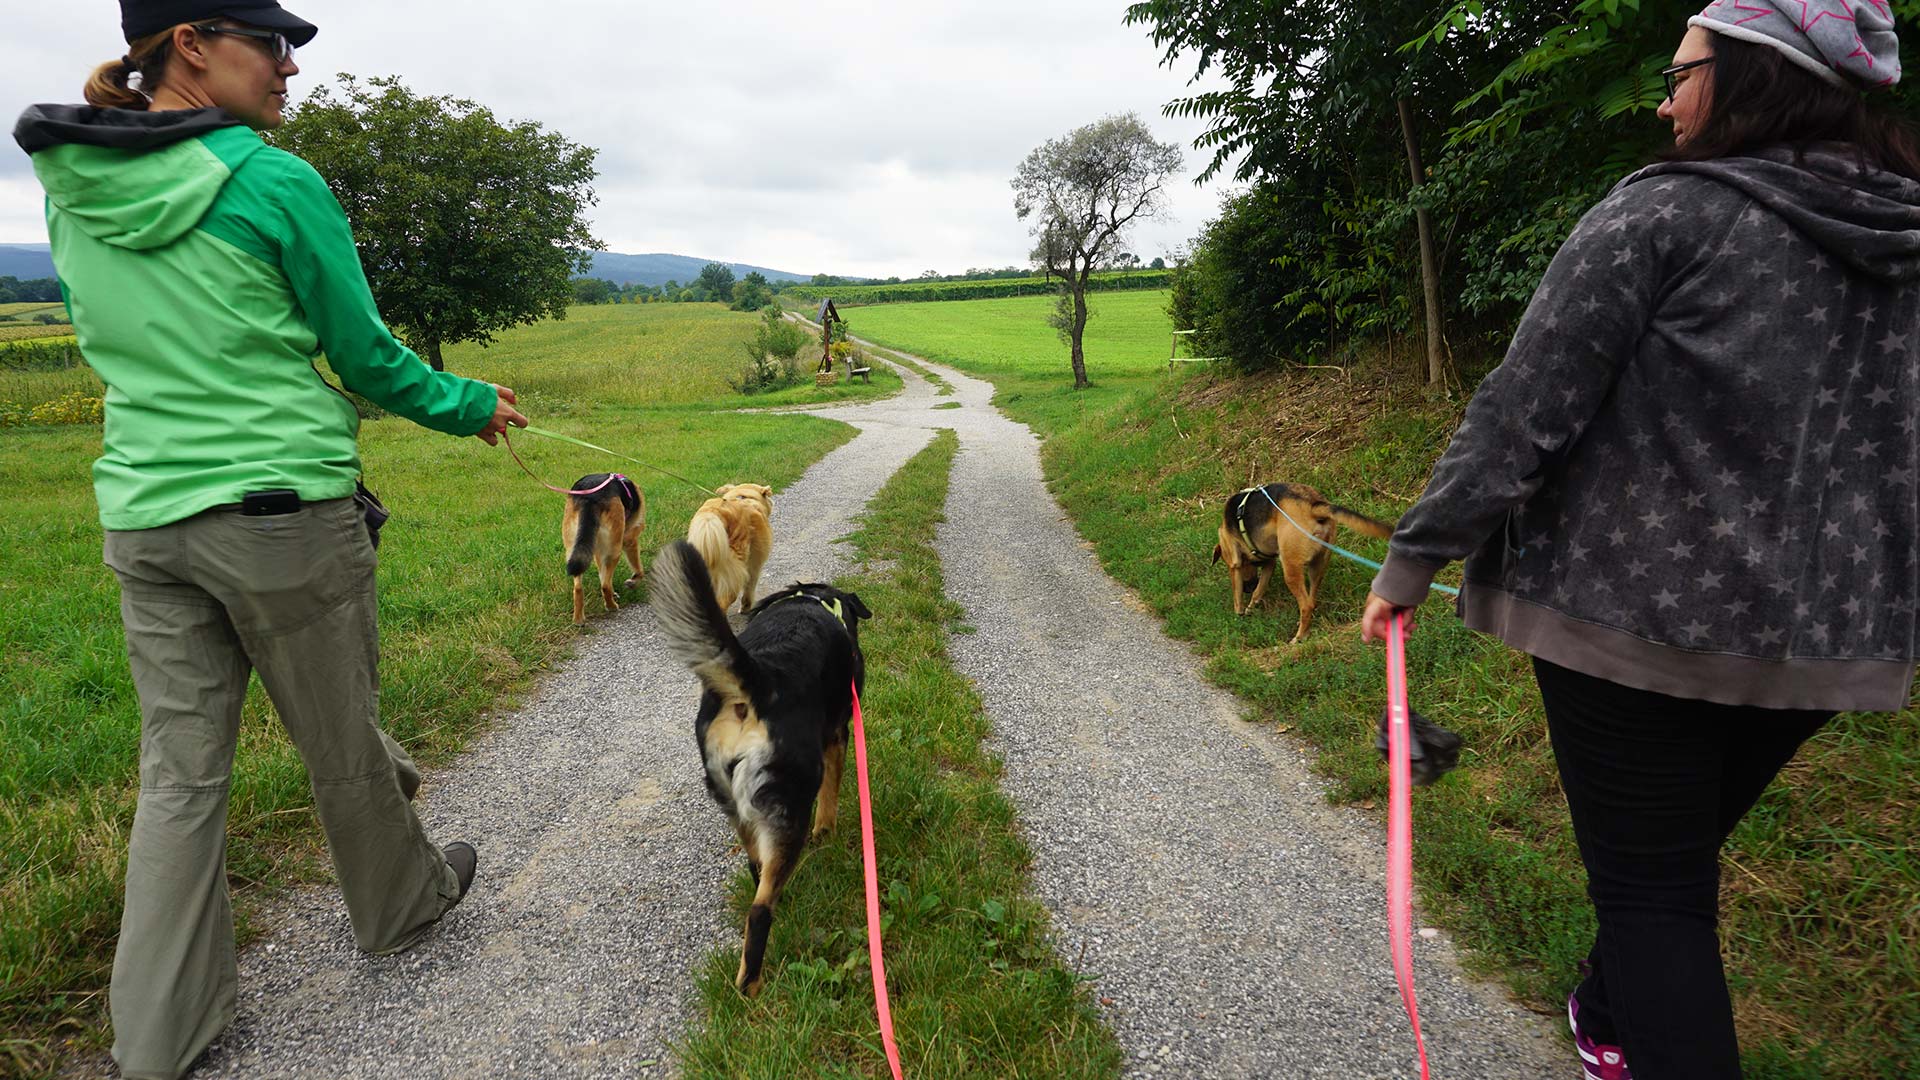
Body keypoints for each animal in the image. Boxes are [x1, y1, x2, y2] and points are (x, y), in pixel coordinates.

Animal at [560, 470, 645, 622]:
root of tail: (589, 497)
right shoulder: (630, 539)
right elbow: (639, 569)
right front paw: (634, 581)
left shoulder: (598, 551)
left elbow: (603, 574)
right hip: (614, 550)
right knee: (604, 585)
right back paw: (611, 606)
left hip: (573, 548)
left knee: (578, 586)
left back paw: (578, 618)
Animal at [656, 534, 875, 991]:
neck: (815, 601)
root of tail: (759, 681)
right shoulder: (839, 736)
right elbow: (831, 797)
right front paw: (827, 830)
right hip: (792, 802)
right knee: (759, 912)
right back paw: (751, 986)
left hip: (737, 806)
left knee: (758, 873)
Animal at [691, 480, 771, 611]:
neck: (743, 496)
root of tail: (713, 515)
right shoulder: (755, 563)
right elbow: (750, 586)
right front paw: (745, 607)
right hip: (733, 574)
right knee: (724, 601)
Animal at [1213, 484, 1397, 641]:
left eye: (1244, 564)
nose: (1248, 587)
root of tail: (1311, 505)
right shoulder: (1269, 563)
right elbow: (1260, 589)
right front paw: (1251, 606)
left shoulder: (1235, 563)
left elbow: (1237, 593)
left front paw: (1239, 614)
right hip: (1318, 565)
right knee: (1311, 600)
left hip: (1291, 568)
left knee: (1306, 605)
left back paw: (1300, 637)